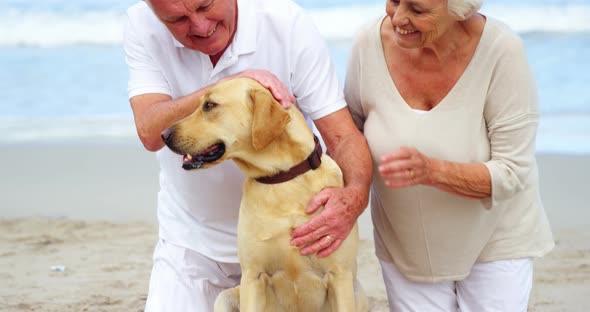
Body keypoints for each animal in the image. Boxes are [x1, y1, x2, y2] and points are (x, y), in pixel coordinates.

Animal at [160, 77, 368, 310]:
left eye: (209, 105)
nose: (163, 135)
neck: (283, 179)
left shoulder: (340, 275)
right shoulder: (253, 277)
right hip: (225, 297)